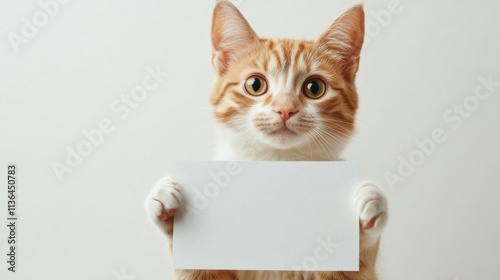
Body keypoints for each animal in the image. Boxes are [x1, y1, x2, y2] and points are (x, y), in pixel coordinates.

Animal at [145, 1, 386, 278]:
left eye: (314, 88)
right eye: (255, 85)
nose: (285, 109)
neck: (276, 163)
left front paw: (371, 203)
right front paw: (164, 201)